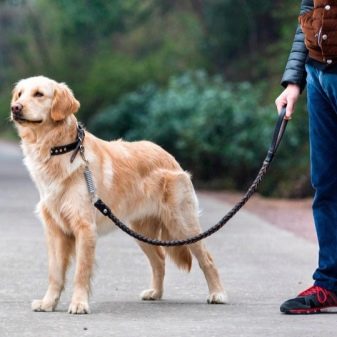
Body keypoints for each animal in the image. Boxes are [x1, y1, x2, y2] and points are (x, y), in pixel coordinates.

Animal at [10, 75, 227, 312]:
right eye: (20, 94)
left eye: (39, 94)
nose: (15, 107)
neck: (59, 149)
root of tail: (168, 155)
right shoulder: (55, 229)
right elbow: (55, 273)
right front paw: (48, 302)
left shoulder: (85, 227)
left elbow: (80, 272)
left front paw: (79, 304)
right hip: (141, 230)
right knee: (159, 259)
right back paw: (155, 293)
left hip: (182, 224)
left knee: (207, 259)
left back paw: (217, 294)